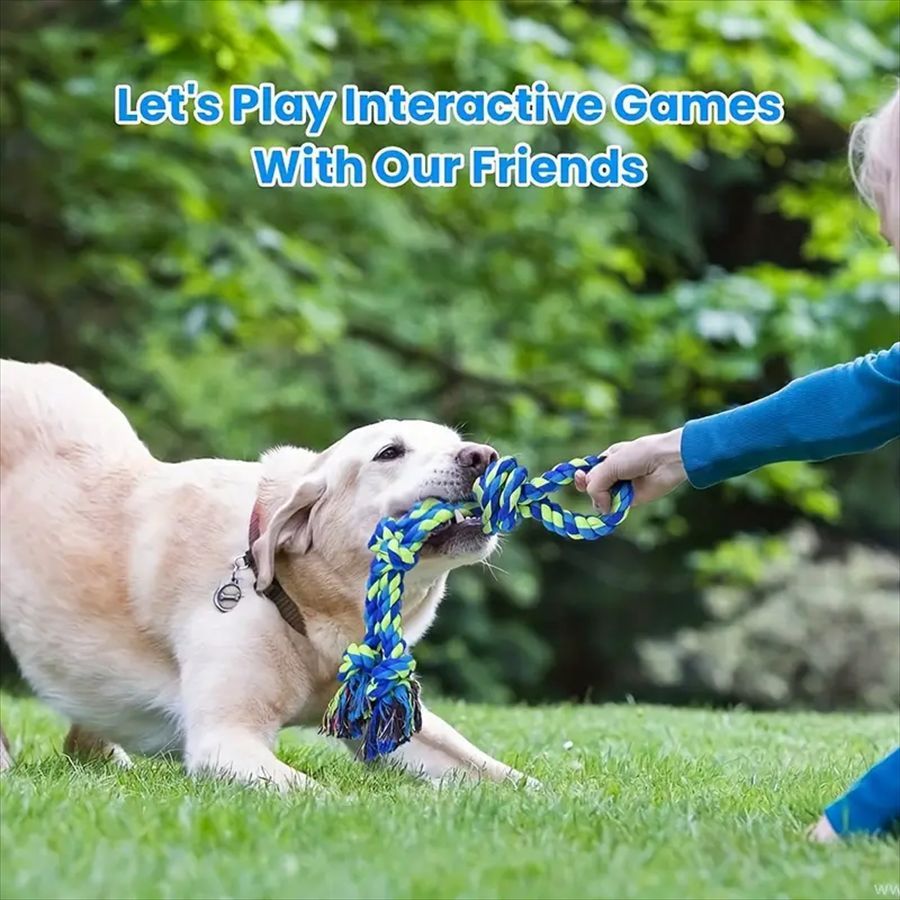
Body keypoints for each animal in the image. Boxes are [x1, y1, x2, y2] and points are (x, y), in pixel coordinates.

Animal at [0, 358, 528, 788]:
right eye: (389, 452)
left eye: (457, 443)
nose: (483, 456)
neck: (299, 603)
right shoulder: (225, 738)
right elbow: (321, 796)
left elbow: (503, 775)